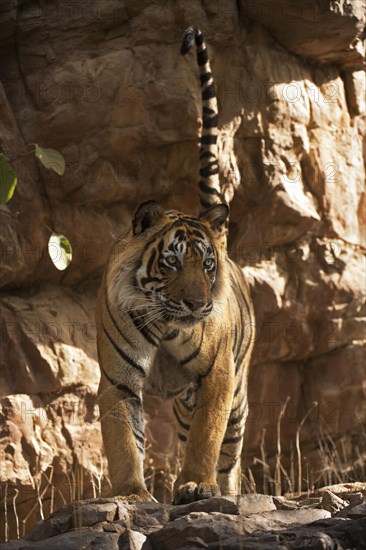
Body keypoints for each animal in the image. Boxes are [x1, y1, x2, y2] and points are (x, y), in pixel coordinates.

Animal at [96, 28, 256, 506]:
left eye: (206, 266)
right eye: (171, 263)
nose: (198, 305)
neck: (166, 324)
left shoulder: (218, 376)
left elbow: (208, 436)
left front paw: (196, 485)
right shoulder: (117, 382)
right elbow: (123, 442)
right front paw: (131, 494)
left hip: (237, 395)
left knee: (230, 452)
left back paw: (225, 491)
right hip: (184, 402)